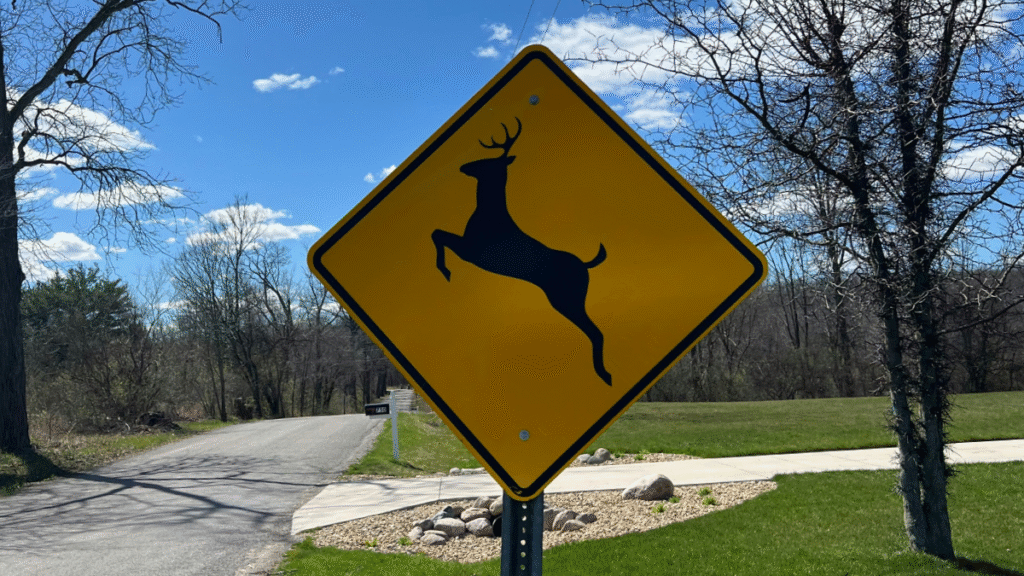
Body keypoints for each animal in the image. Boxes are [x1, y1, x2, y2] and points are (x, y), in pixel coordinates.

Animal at [431, 118, 612, 385]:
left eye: (487, 162)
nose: (464, 166)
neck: (488, 214)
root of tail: (585, 266)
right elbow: (437, 233)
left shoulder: (472, 251)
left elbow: (437, 234)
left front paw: (445, 270)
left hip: (568, 298)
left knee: (595, 332)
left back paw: (604, 374)